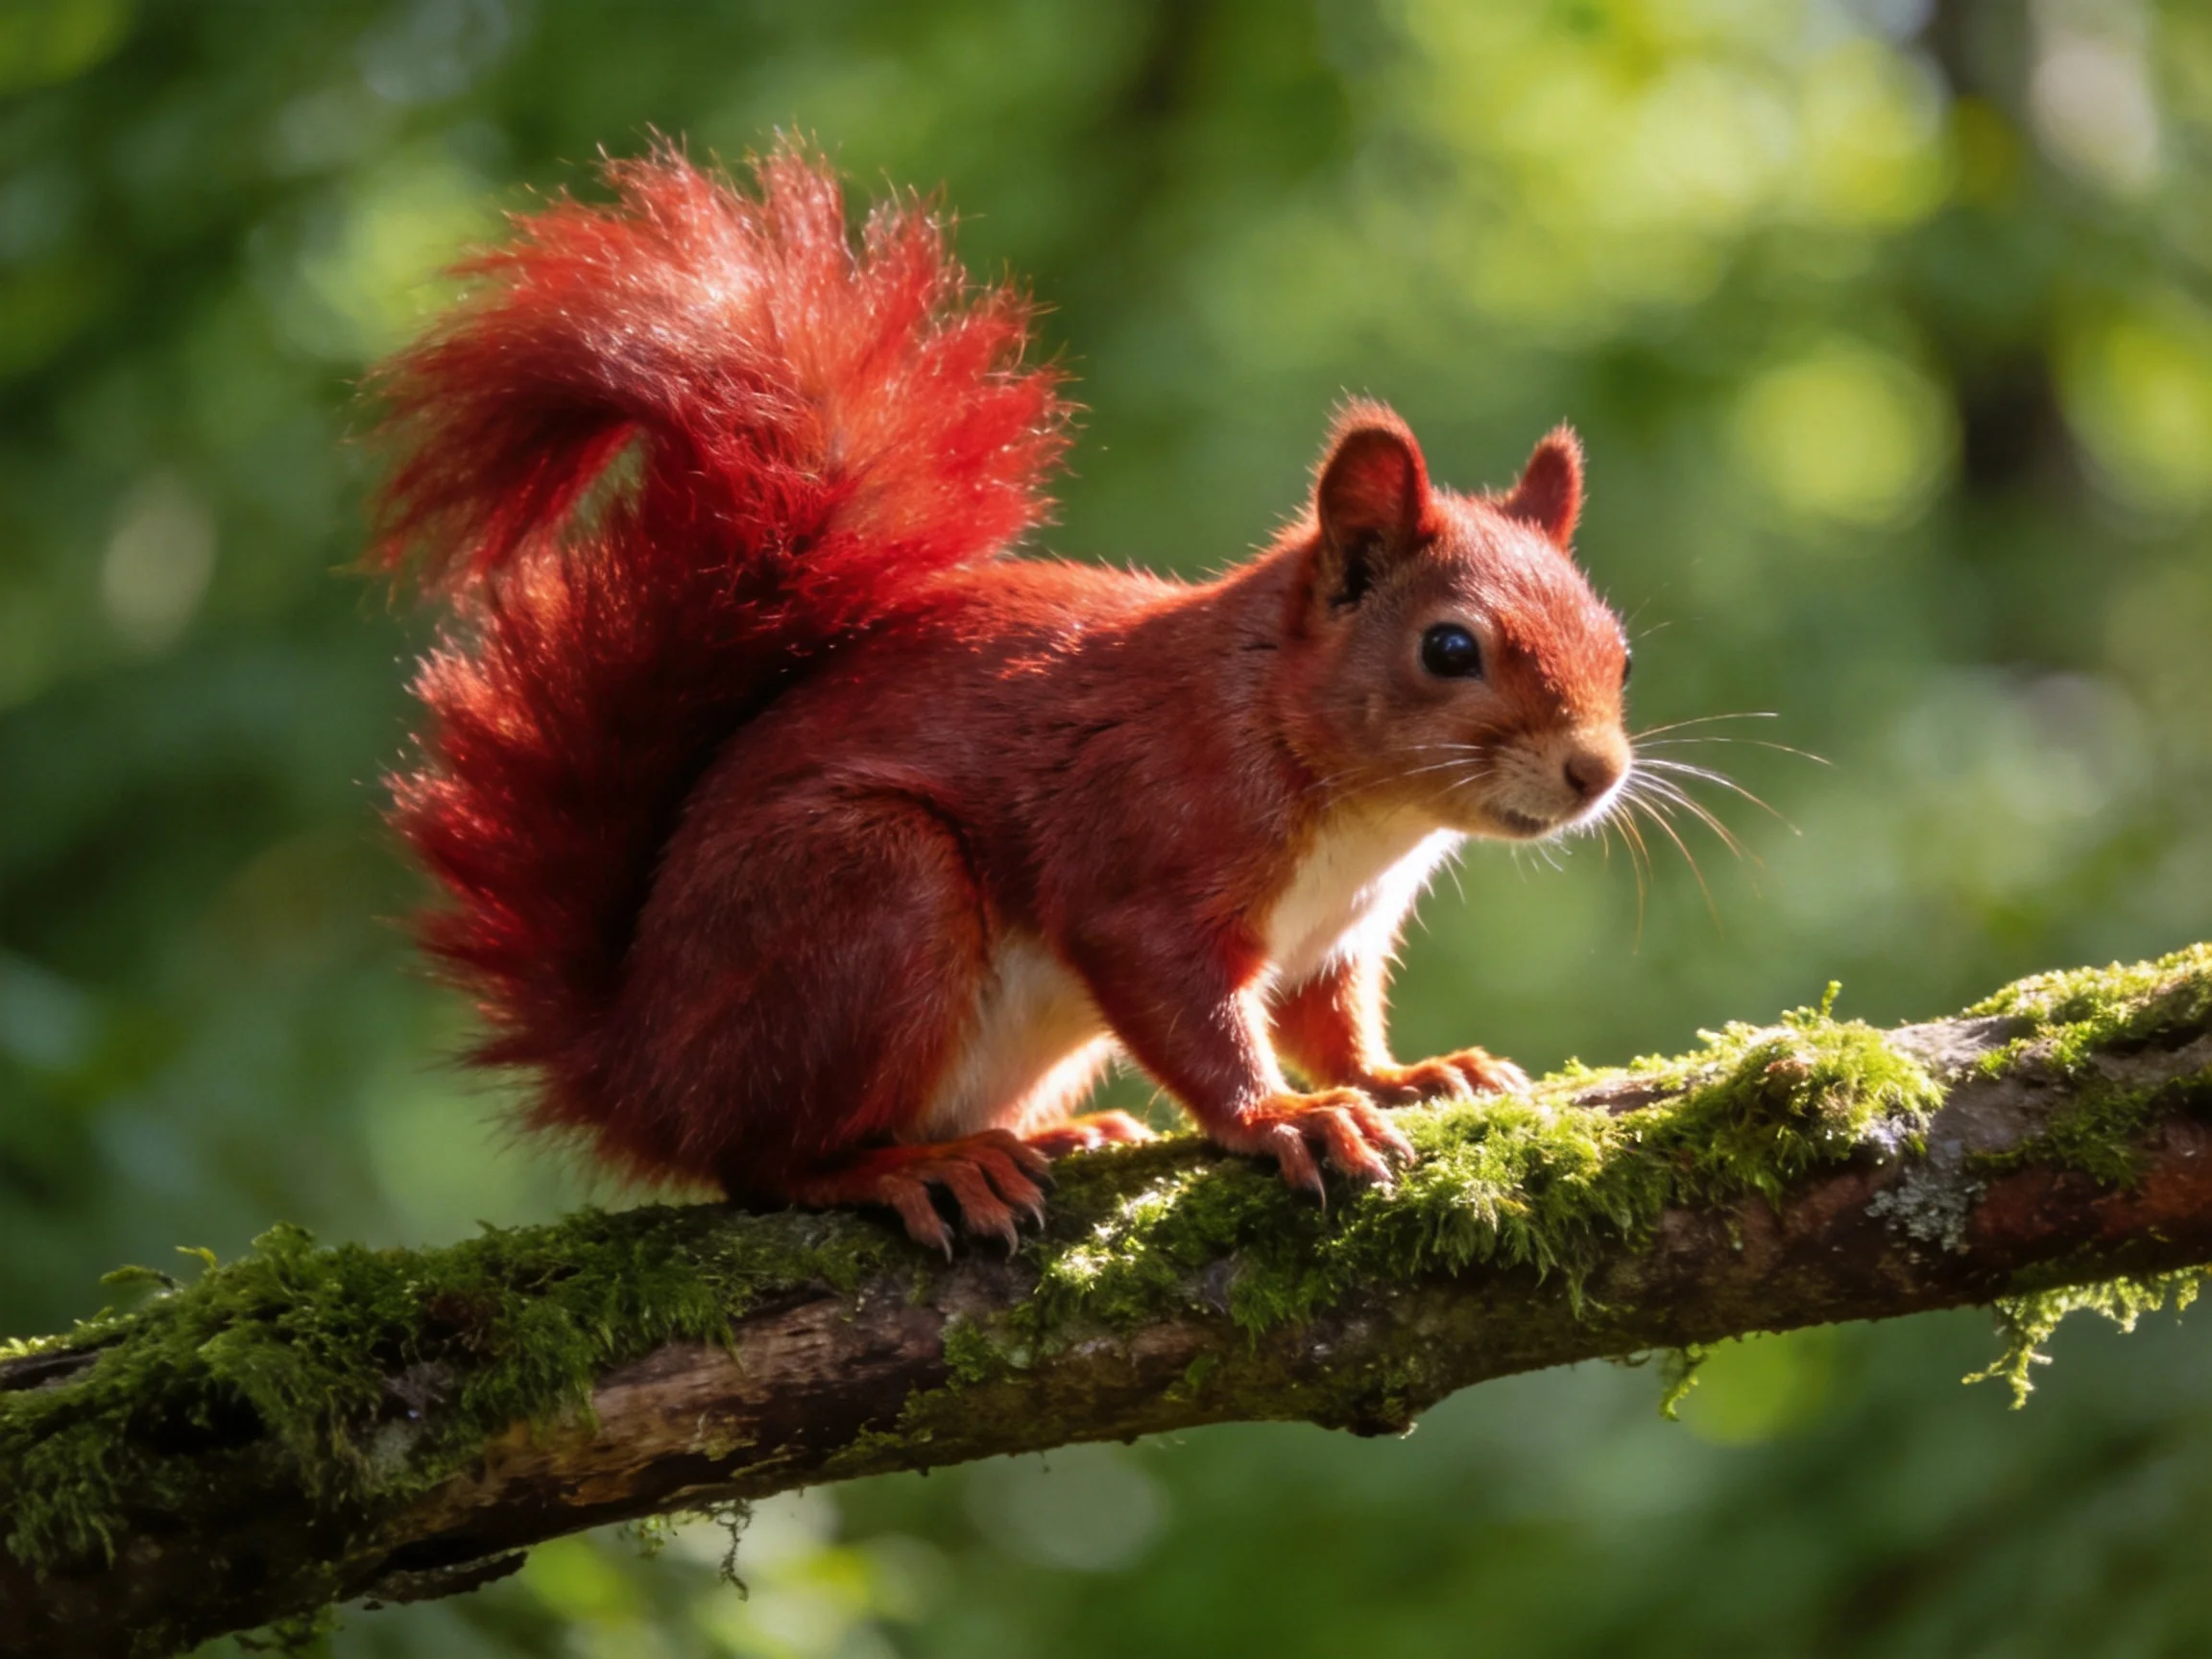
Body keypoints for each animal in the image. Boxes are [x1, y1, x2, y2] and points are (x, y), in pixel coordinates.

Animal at [368, 144, 1634, 1252]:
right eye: (1451, 648)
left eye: (1618, 648)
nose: (1598, 772)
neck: (1353, 804)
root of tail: (634, 1063)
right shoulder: (1145, 847)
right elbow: (1193, 1016)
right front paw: (1284, 1117)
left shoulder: (1337, 939)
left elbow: (1332, 1021)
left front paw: (1410, 1072)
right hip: (870, 891)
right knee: (766, 1163)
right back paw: (918, 1168)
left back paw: (1056, 1134)